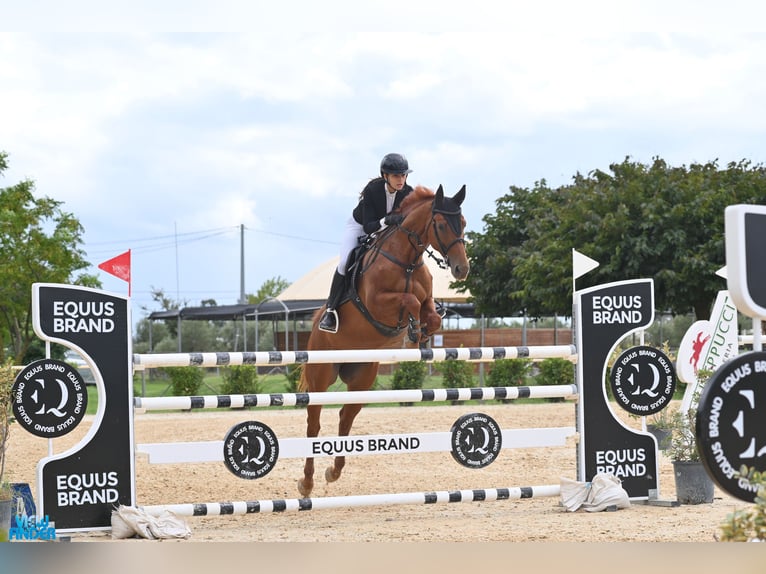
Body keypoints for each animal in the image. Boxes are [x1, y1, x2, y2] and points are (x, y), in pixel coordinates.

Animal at [296, 186, 472, 500]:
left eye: (462, 223)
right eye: (440, 225)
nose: (461, 269)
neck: (406, 261)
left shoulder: (427, 300)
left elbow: (430, 313)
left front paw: (421, 335)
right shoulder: (378, 304)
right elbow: (409, 300)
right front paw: (413, 333)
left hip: (362, 378)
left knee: (345, 417)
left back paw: (334, 471)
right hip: (321, 376)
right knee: (313, 423)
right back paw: (307, 483)